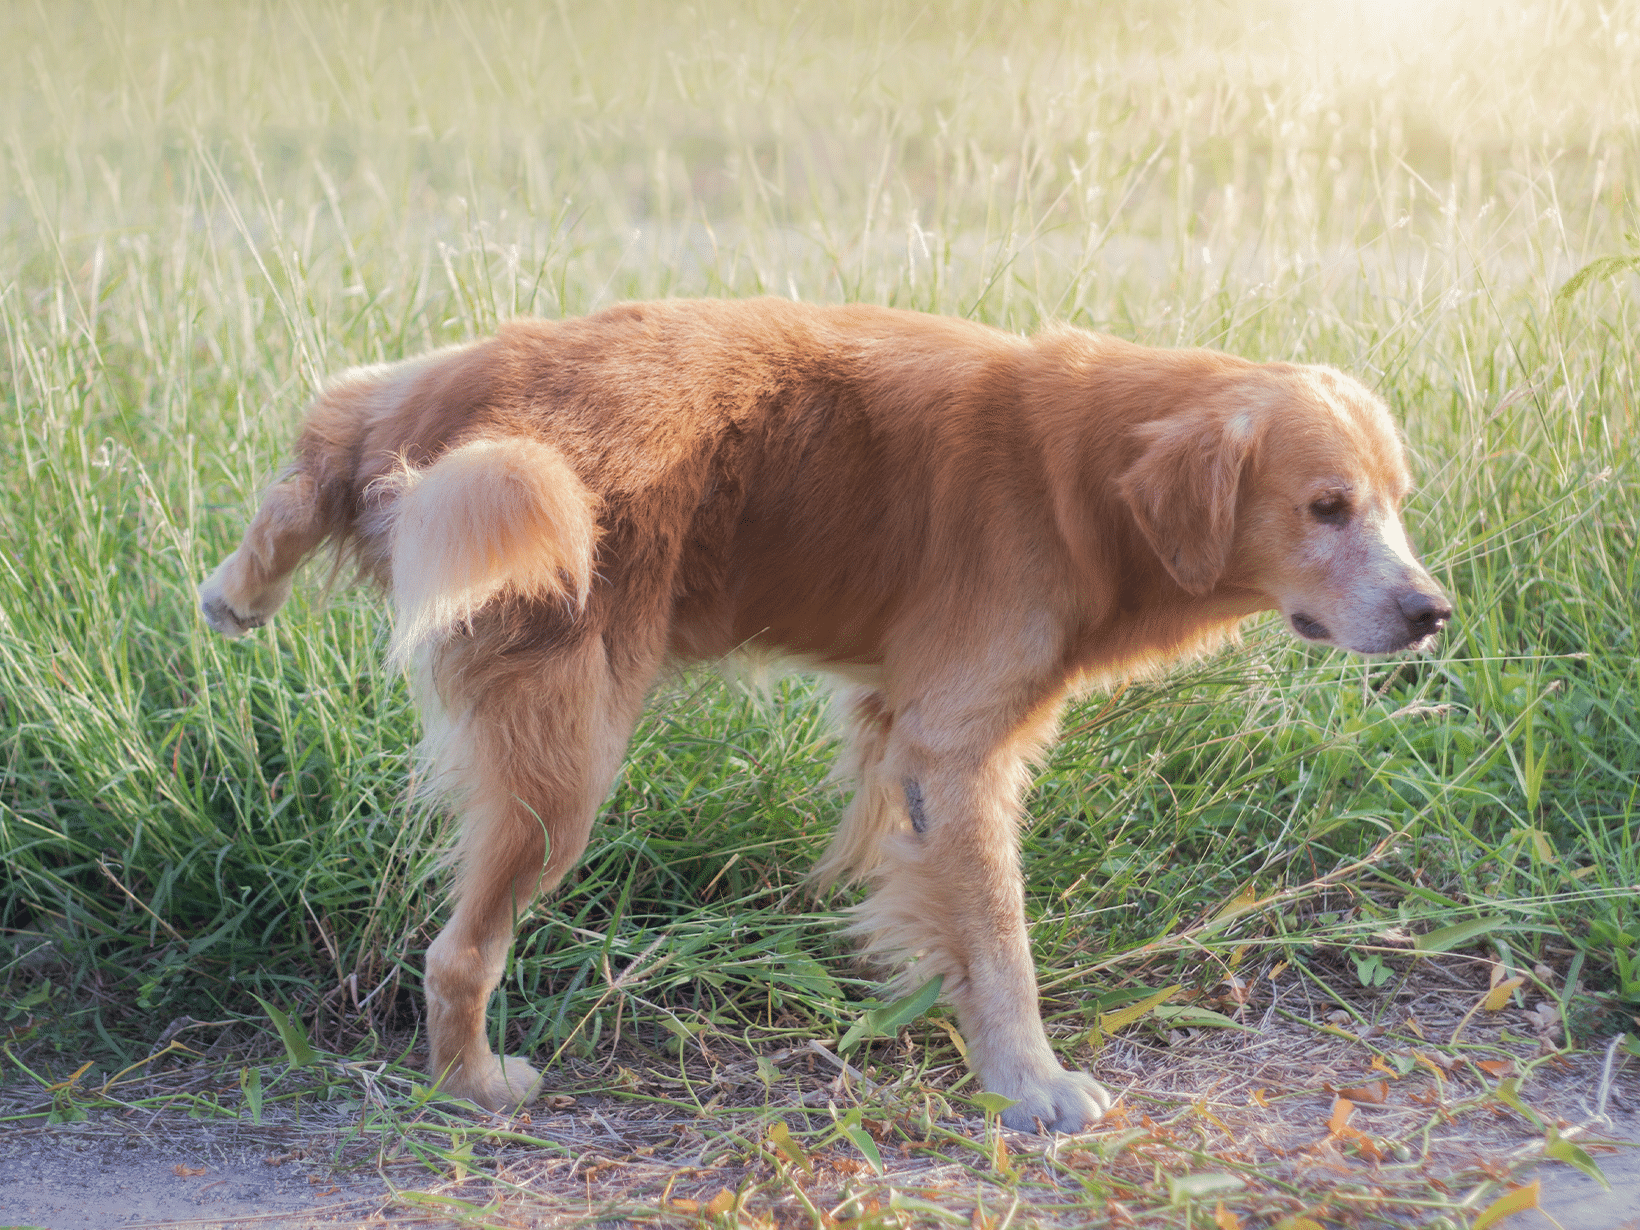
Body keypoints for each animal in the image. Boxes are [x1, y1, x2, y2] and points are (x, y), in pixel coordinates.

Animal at [201, 298, 1449, 1134]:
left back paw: (237, 587)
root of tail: (485, 424)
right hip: (566, 769)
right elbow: (999, 939)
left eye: (1393, 504)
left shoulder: (900, 728)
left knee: (331, 418)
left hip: (416, 406)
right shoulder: (955, 748)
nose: (1431, 612)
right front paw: (1031, 1082)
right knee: (458, 953)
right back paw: (470, 1082)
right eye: (1325, 507)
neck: (1075, 476)